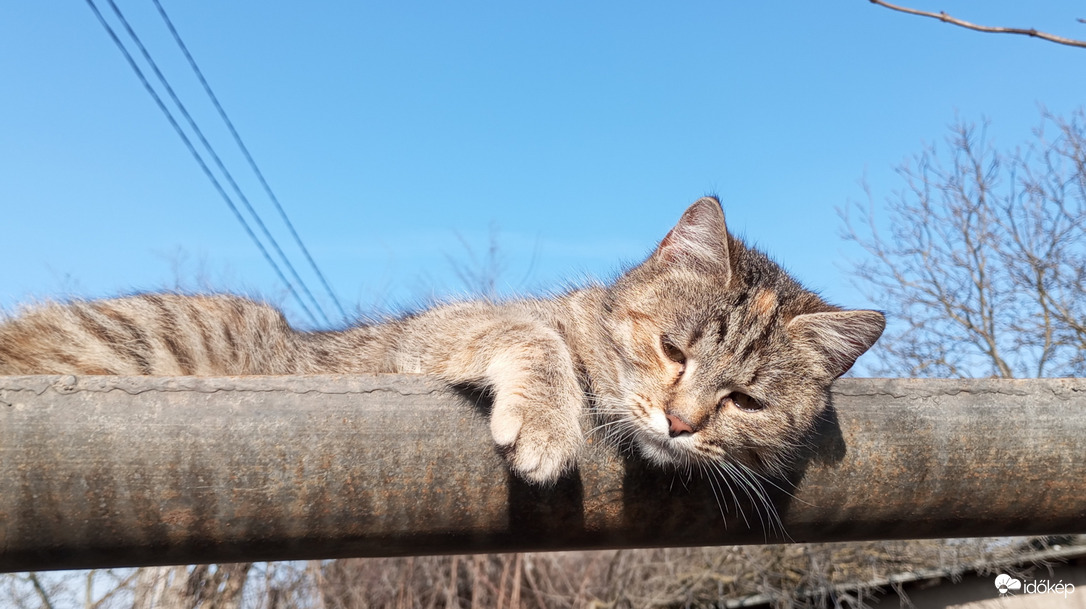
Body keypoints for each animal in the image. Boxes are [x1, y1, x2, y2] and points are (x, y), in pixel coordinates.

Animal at [0, 197, 881, 486]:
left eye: (745, 399)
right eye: (672, 349)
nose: (682, 421)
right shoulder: (433, 333)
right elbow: (532, 331)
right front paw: (551, 420)